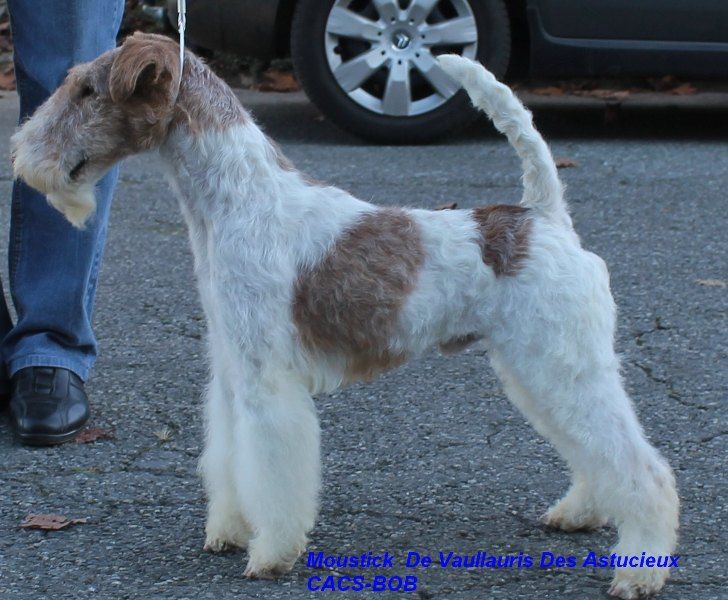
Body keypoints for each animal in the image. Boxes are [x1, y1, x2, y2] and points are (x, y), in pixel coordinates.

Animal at [11, 34, 680, 600]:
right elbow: (230, 458)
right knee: (593, 452)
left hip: (561, 363)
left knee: (642, 467)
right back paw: (579, 512)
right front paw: (229, 528)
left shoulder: (267, 382)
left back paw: (640, 568)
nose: (20, 154)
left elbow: (272, 468)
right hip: (537, 371)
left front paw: (271, 553)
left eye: (87, 91)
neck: (238, 200)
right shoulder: (231, 369)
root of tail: (544, 215)